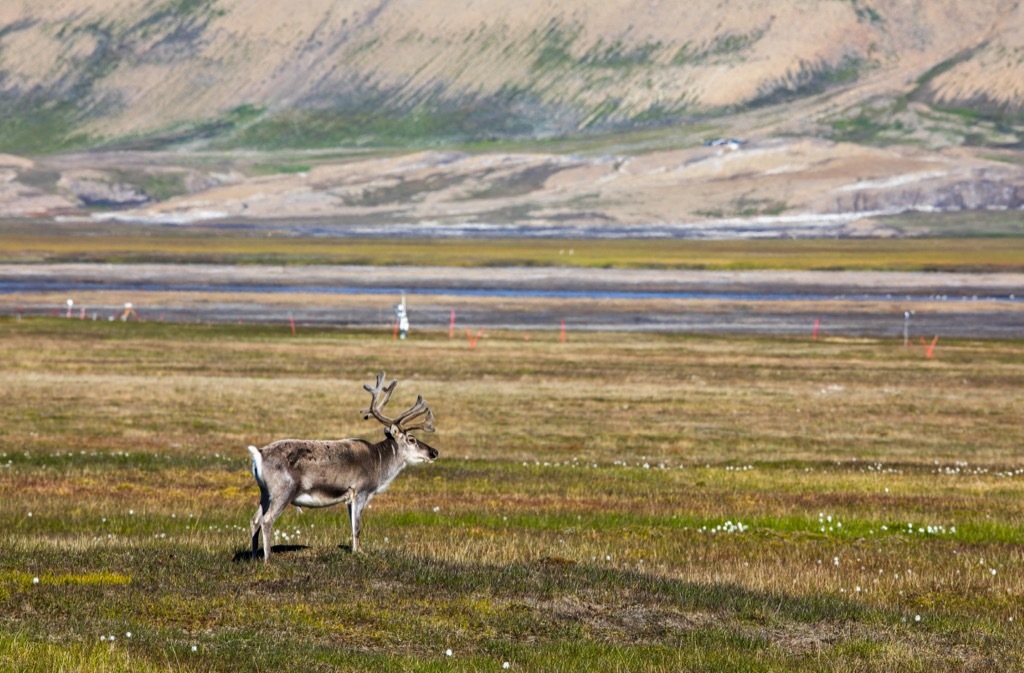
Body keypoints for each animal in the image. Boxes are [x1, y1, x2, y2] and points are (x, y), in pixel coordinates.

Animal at [247, 372, 438, 561]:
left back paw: (254, 556)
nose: (434, 451)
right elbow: (358, 527)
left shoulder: (349, 497)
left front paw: (356, 550)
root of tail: (259, 454)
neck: (380, 464)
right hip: (283, 490)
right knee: (266, 520)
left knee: (255, 520)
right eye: (411, 439)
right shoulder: (361, 491)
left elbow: (352, 526)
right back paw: (268, 560)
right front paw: (360, 552)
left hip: (265, 492)